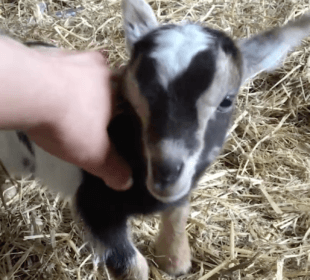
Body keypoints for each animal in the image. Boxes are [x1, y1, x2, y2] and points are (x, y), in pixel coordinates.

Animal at [0, 1, 310, 278]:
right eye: (135, 91)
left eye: (226, 100)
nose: (166, 175)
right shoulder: (94, 202)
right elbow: (134, 267)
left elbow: (177, 217)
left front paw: (174, 259)